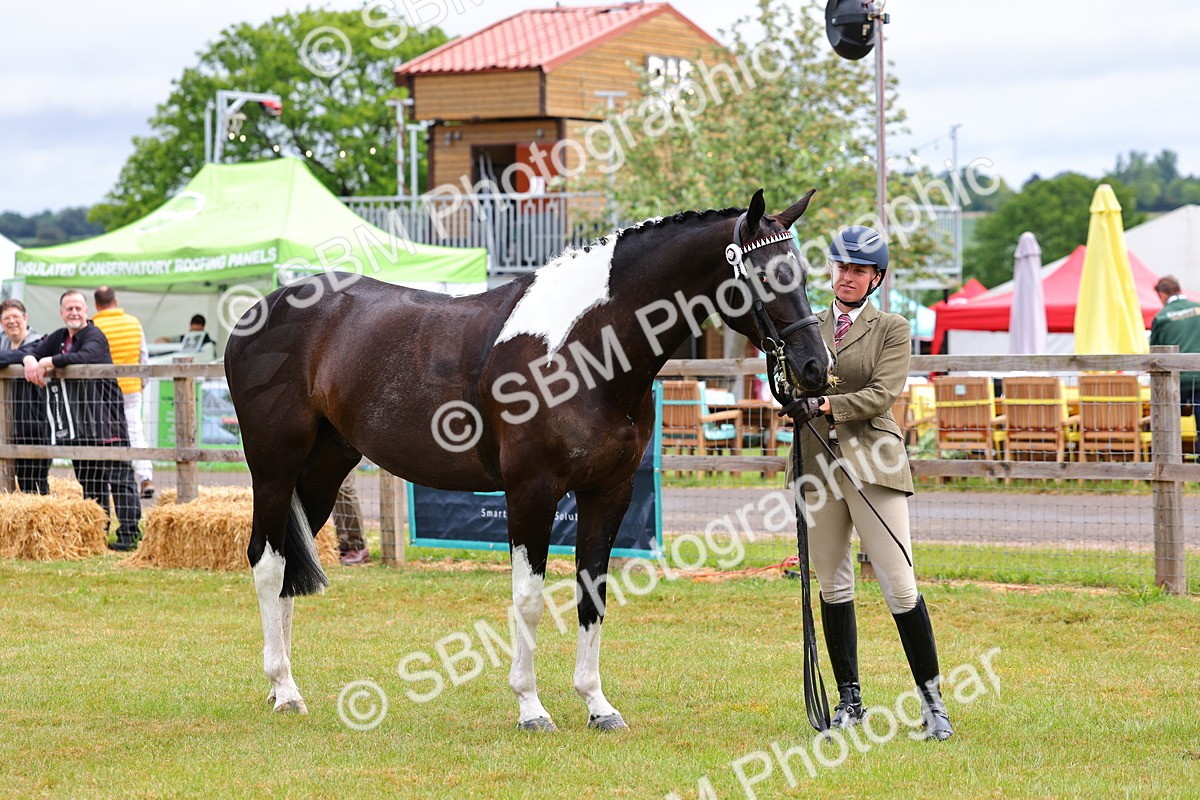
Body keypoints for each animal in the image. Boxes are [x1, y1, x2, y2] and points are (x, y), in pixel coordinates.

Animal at [224, 188, 831, 731]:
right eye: (767, 276)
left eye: (802, 273)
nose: (815, 367)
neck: (587, 347)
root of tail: (260, 310)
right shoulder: (531, 492)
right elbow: (530, 598)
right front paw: (531, 708)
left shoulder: (610, 492)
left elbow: (592, 592)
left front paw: (597, 705)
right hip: (274, 468)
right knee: (267, 561)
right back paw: (283, 691)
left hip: (324, 470)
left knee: (287, 566)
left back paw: (287, 688)